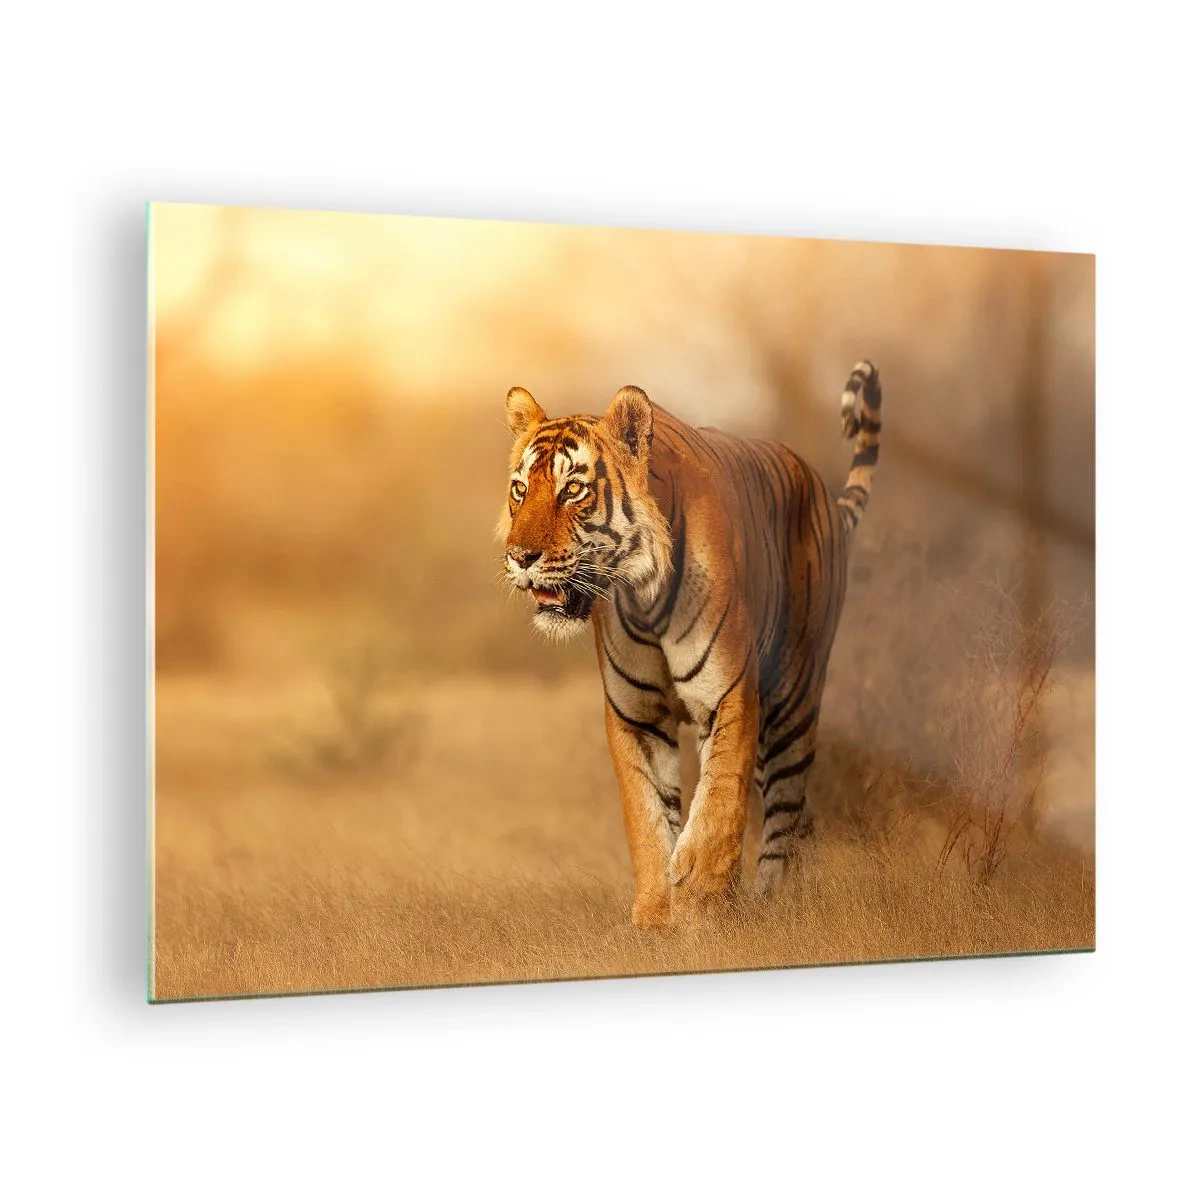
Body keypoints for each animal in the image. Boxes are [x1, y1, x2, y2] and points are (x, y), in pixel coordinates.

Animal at [498, 362, 883, 927]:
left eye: (573, 490)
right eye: (521, 489)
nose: (520, 557)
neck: (642, 594)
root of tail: (823, 493)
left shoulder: (729, 695)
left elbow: (718, 802)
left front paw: (701, 901)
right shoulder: (635, 715)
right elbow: (648, 816)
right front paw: (657, 916)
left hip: (792, 700)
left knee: (785, 811)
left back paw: (772, 904)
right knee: (799, 818)